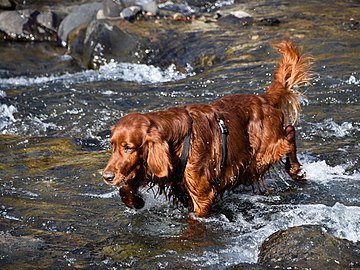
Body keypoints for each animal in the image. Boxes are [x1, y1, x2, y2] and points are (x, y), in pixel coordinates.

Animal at [102, 40, 310, 217]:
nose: (106, 177)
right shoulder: (155, 167)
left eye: (128, 147)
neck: (177, 139)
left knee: (289, 133)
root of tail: (263, 98)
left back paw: (295, 169)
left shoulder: (202, 194)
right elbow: (126, 188)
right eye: (113, 146)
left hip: (262, 154)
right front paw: (135, 200)